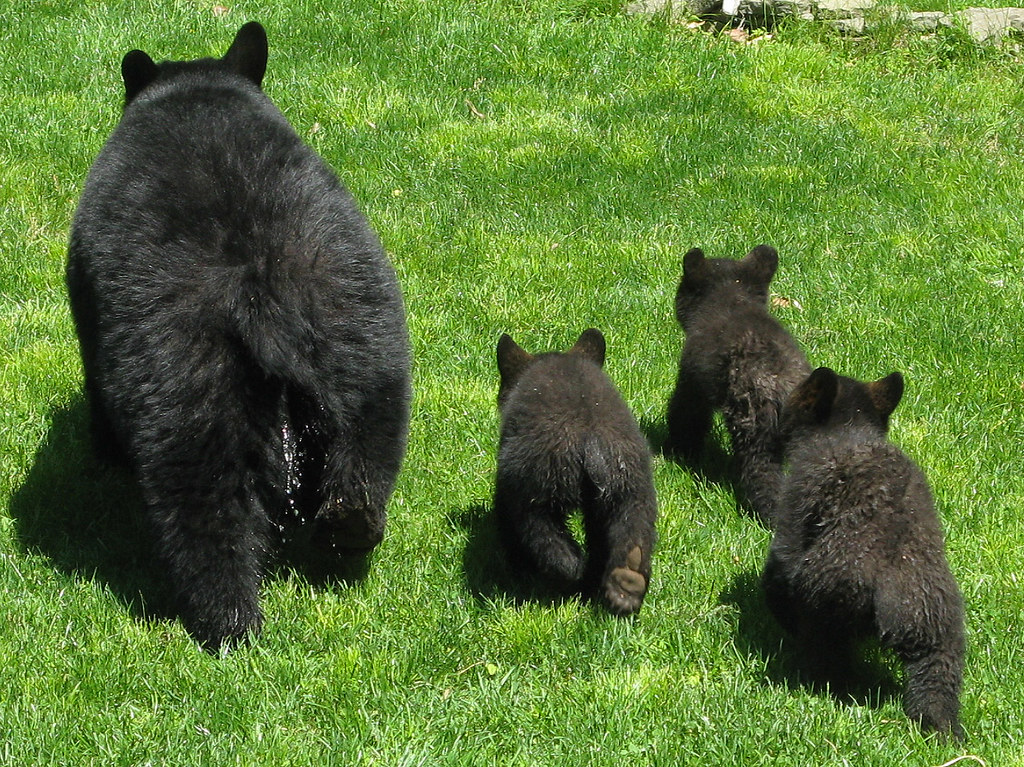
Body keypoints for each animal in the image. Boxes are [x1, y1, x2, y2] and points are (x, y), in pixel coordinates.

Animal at [65, 22, 411, 650]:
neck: (196, 90)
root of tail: (258, 282)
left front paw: (102, 452)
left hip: (184, 367)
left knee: (203, 501)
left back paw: (228, 623)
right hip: (358, 318)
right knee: (366, 432)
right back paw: (349, 526)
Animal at [494, 329, 657, 616]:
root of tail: (589, 437)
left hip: (537, 481)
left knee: (543, 535)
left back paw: (568, 577)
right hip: (629, 480)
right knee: (633, 524)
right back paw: (626, 583)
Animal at [665, 244, 810, 526]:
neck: (731, 299)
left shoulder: (691, 378)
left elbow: (686, 414)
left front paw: (679, 451)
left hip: (755, 425)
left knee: (763, 472)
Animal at [761, 366, 965, 739]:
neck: (847, 429)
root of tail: (894, 603)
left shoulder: (794, 512)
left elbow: (778, 571)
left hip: (827, 603)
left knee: (828, 654)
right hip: (939, 628)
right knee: (936, 680)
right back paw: (942, 727)